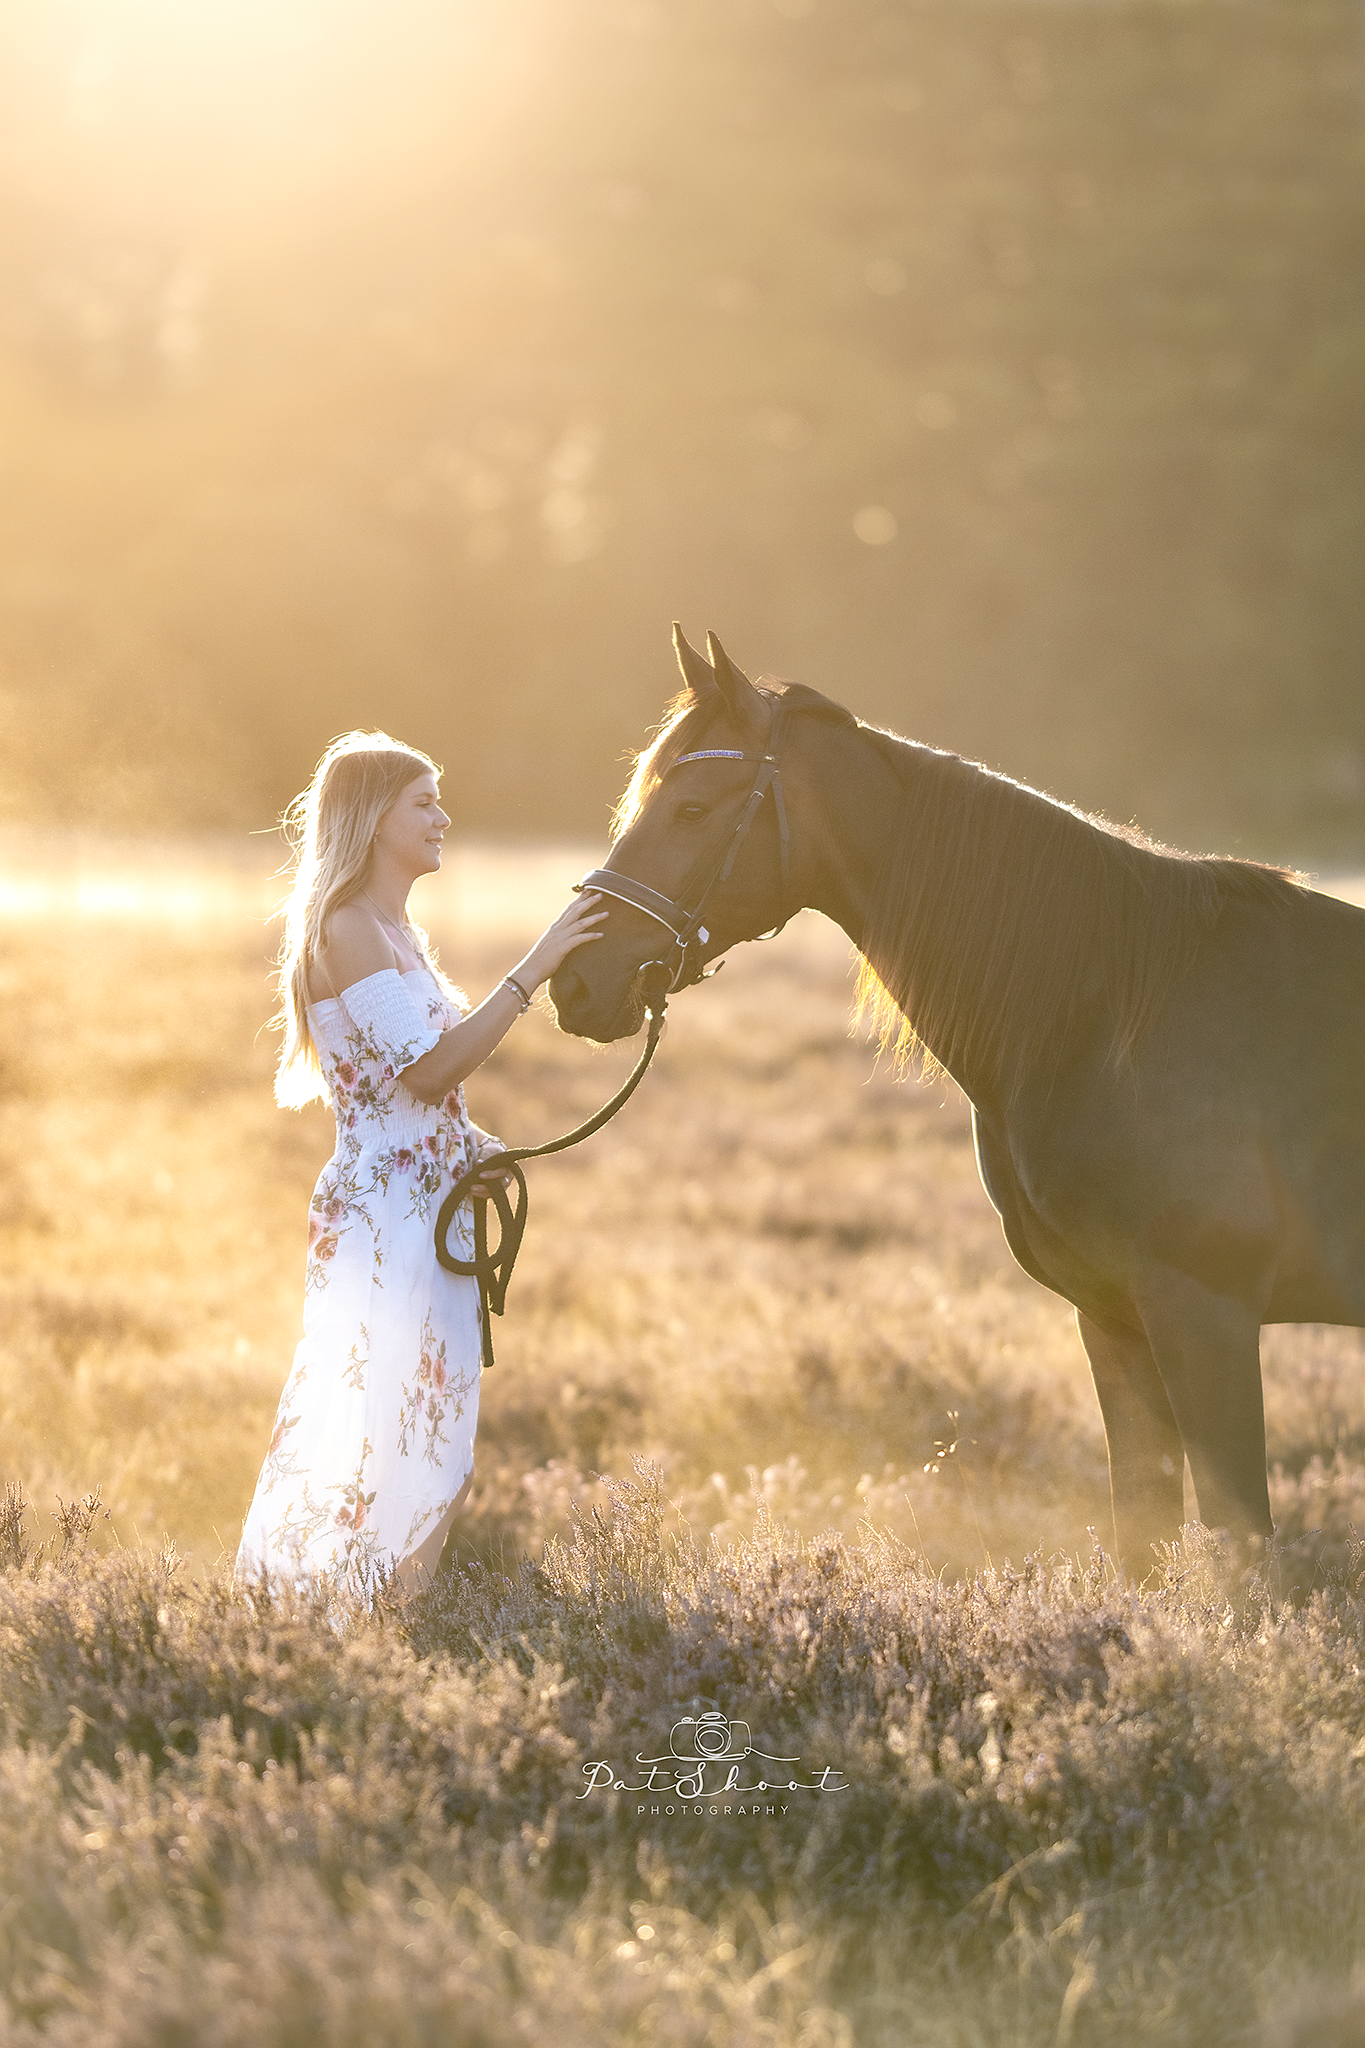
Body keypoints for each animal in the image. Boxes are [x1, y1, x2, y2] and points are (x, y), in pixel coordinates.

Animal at [549, 625, 1365, 1571]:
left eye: (690, 809)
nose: (576, 982)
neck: (1107, 1014)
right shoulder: (1113, 1320)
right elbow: (1143, 1534)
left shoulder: (1207, 1318)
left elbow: (1237, 1553)